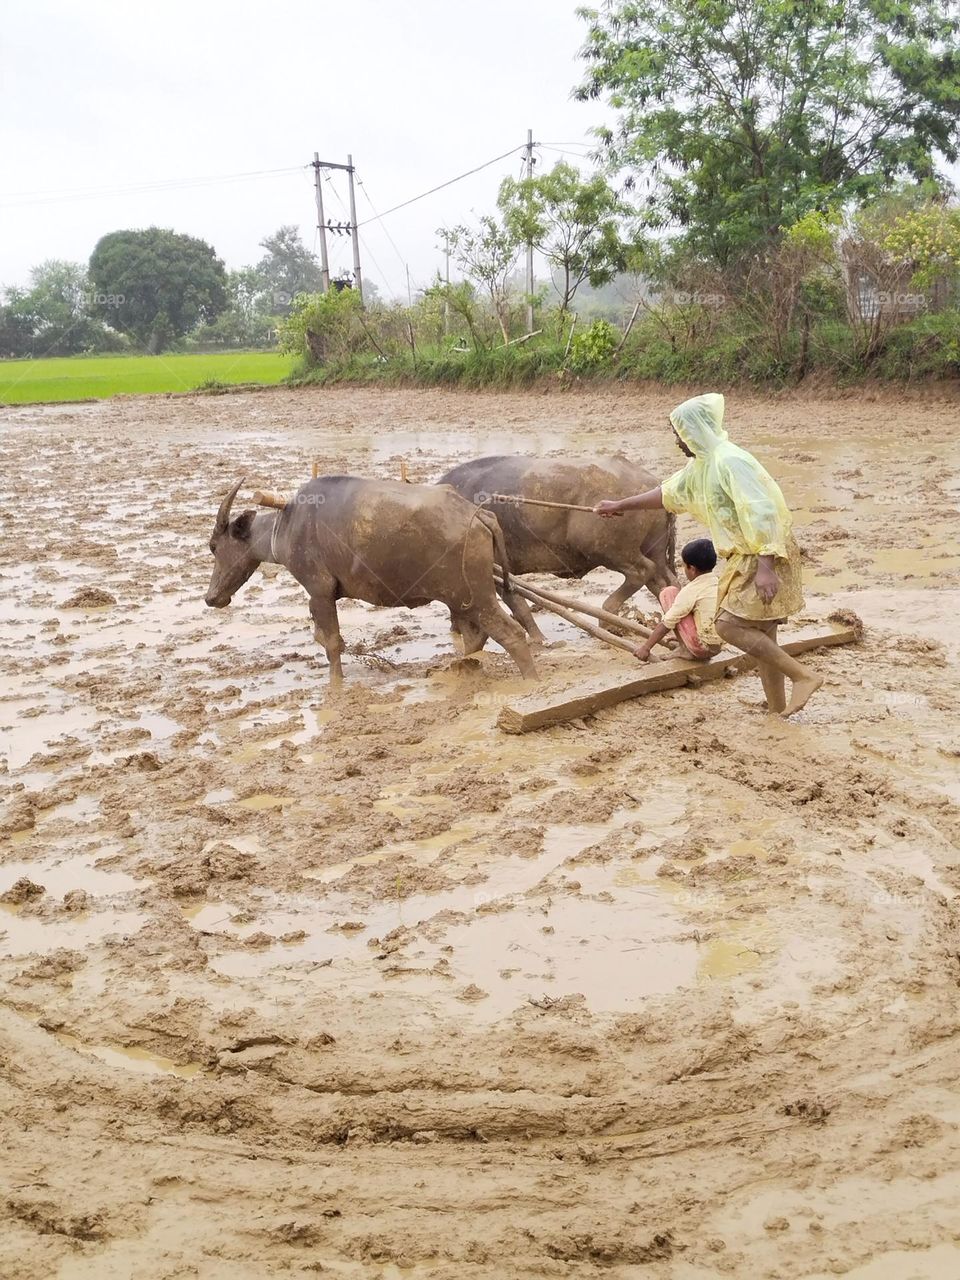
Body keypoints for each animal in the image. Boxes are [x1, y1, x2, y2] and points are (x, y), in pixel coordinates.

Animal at [206, 476, 542, 686]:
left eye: (213, 546)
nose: (211, 597)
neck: (287, 524)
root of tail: (478, 514)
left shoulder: (319, 593)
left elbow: (332, 644)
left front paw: (336, 685)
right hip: (460, 600)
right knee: (476, 637)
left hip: (475, 597)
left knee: (511, 633)